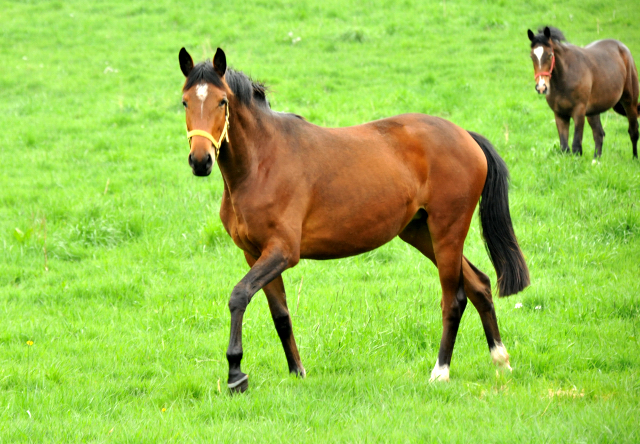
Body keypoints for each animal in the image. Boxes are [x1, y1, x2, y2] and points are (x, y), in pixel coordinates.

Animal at [176, 46, 528, 392]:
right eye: (185, 101)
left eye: (222, 101)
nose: (200, 161)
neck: (262, 162)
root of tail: (465, 136)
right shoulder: (255, 254)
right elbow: (280, 314)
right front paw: (297, 372)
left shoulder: (283, 252)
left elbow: (239, 296)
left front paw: (236, 373)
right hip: (421, 232)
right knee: (480, 285)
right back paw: (501, 361)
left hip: (447, 231)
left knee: (453, 299)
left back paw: (440, 372)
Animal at [528, 26, 636, 159]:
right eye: (532, 56)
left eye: (549, 55)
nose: (541, 87)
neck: (564, 78)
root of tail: (622, 48)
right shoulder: (560, 114)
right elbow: (564, 148)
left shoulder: (579, 112)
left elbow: (576, 146)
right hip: (593, 111)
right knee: (599, 134)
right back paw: (596, 160)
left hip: (630, 102)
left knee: (633, 131)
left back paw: (635, 158)